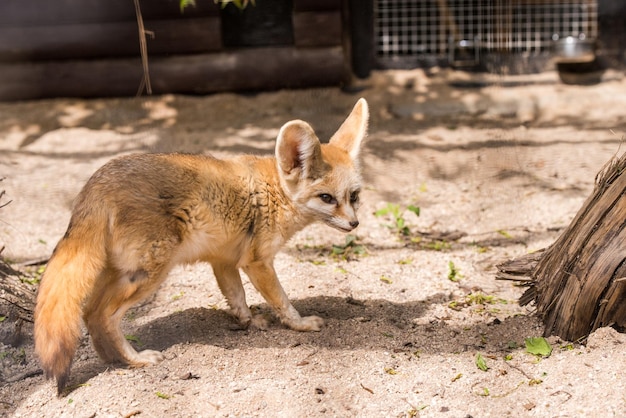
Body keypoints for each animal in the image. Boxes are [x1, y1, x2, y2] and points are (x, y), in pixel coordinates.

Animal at [34, 99, 368, 394]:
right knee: (104, 315)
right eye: (326, 198)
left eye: (353, 196)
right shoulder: (257, 262)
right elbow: (282, 301)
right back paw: (135, 360)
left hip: (118, 274)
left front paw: (248, 322)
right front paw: (299, 324)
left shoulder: (223, 261)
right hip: (147, 278)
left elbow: (237, 297)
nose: (354, 224)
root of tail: (97, 184)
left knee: (89, 313)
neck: (274, 193)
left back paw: (112, 360)